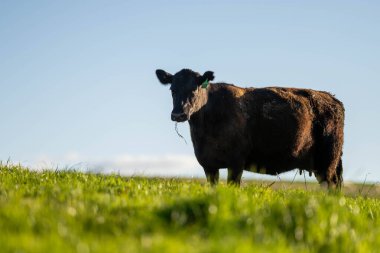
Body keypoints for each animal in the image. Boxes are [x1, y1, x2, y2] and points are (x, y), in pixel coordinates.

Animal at [154, 68, 344, 188]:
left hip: (328, 161)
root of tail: (331, 98)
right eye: (172, 89)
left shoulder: (236, 162)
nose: (178, 114)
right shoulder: (208, 164)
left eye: (194, 88)